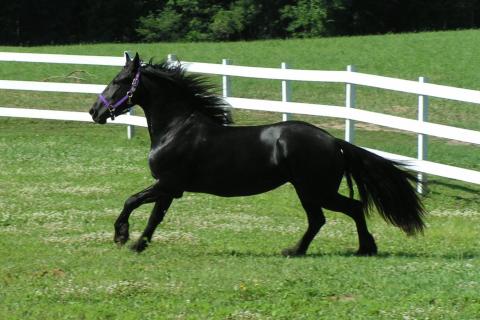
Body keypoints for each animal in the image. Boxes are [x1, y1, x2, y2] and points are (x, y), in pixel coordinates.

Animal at [89, 53, 424, 256]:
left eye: (119, 81)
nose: (94, 112)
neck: (176, 128)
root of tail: (332, 140)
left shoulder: (168, 184)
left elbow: (132, 201)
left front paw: (123, 238)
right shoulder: (171, 189)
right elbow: (155, 216)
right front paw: (138, 243)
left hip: (314, 189)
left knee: (345, 210)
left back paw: (352, 249)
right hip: (309, 190)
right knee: (324, 218)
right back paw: (305, 250)